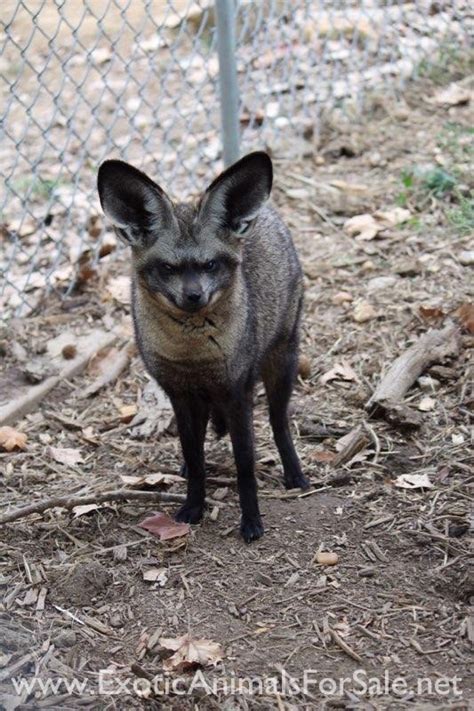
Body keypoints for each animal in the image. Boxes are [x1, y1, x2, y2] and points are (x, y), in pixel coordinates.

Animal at [98, 153, 310, 544]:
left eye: (210, 264)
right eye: (168, 268)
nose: (194, 296)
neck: (193, 355)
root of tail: (267, 214)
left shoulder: (237, 392)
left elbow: (245, 465)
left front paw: (251, 520)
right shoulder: (179, 394)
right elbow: (195, 458)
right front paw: (193, 507)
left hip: (282, 362)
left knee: (278, 423)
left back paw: (294, 472)